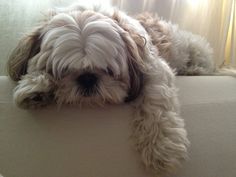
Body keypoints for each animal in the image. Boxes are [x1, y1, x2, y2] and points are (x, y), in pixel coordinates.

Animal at [6, 3, 216, 176]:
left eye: (108, 70)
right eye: (62, 70)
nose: (87, 78)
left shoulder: (154, 68)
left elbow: (157, 101)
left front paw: (162, 147)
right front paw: (36, 87)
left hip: (196, 50)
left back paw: (195, 70)